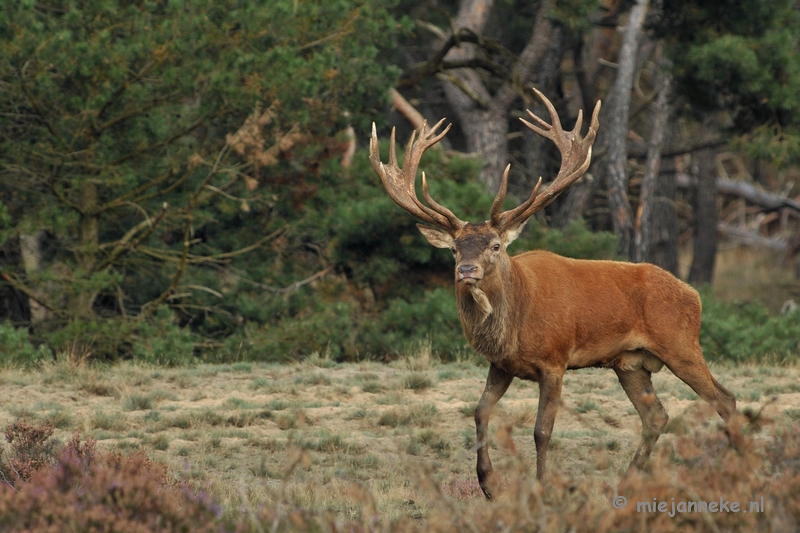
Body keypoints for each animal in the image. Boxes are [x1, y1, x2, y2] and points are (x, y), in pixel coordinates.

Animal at [368, 89, 736, 500]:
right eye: (454, 249)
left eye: (495, 245)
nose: (467, 271)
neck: (516, 323)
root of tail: (695, 296)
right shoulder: (501, 364)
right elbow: (480, 411)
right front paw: (488, 484)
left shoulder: (555, 359)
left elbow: (542, 431)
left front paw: (542, 488)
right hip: (630, 363)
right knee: (657, 415)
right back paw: (626, 483)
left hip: (681, 344)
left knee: (724, 399)